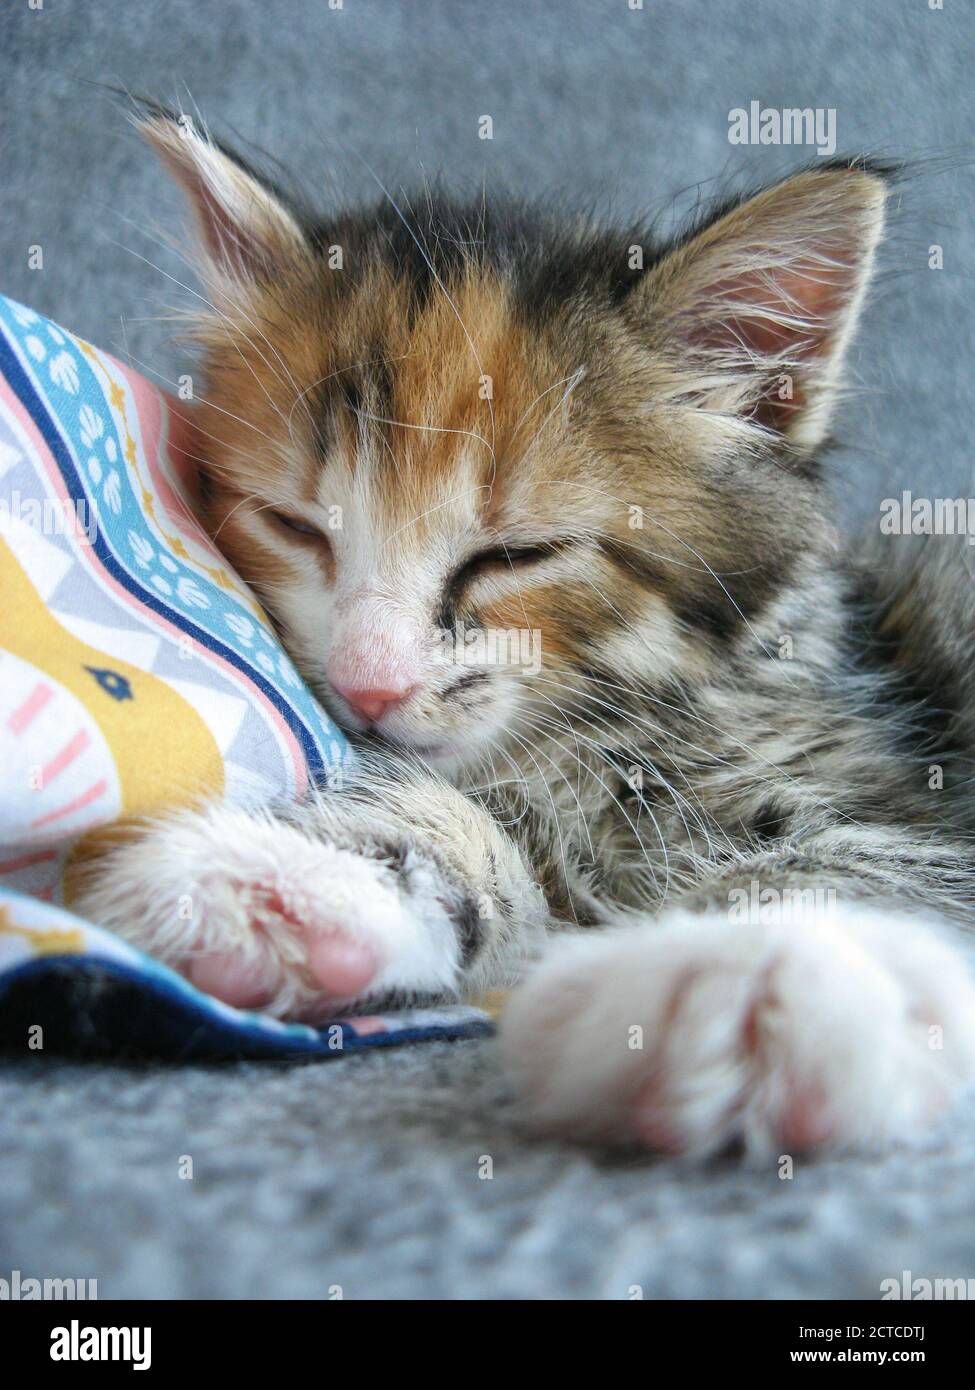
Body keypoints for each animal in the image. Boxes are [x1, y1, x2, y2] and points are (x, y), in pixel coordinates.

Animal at [70, 108, 973, 1156]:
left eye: (516, 554)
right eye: (294, 525)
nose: (368, 684)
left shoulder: (906, 798)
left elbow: (842, 864)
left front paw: (757, 967)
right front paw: (307, 876)